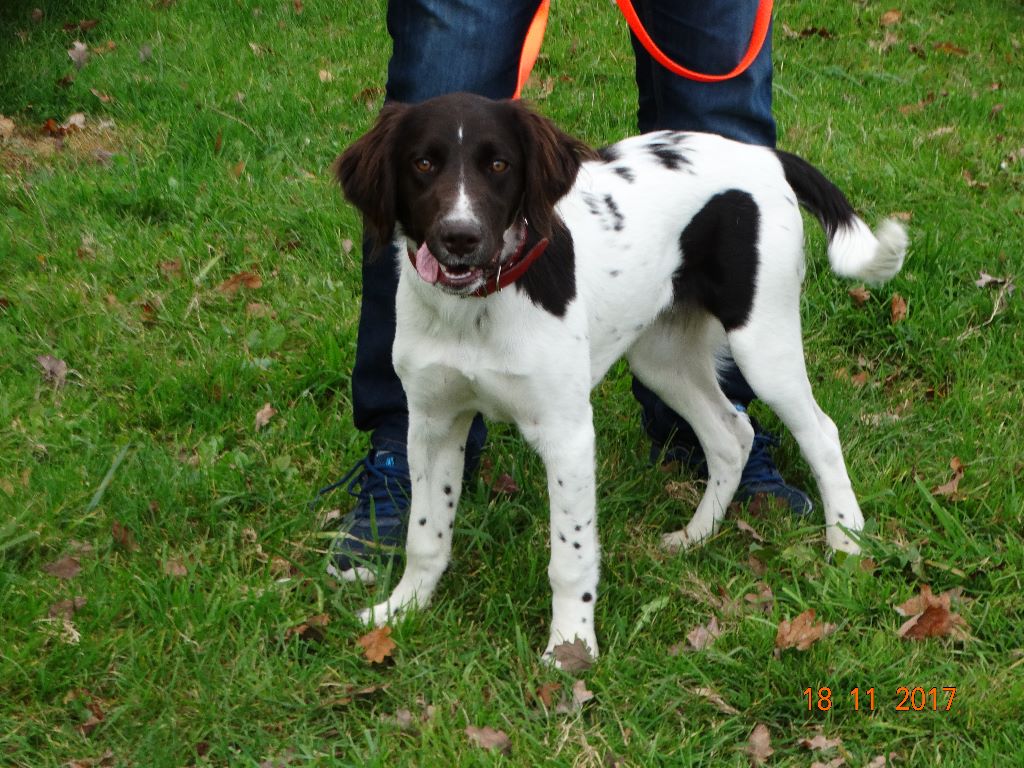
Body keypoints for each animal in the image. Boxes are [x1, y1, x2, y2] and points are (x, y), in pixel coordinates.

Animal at [333, 93, 905, 663]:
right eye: (422, 163)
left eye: (499, 165)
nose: (460, 237)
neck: (475, 310)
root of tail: (763, 155)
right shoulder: (432, 422)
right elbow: (424, 535)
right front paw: (401, 610)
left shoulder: (566, 434)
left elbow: (570, 557)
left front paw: (570, 647)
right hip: (661, 357)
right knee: (731, 434)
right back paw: (696, 535)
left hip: (762, 344)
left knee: (820, 433)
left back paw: (847, 544)